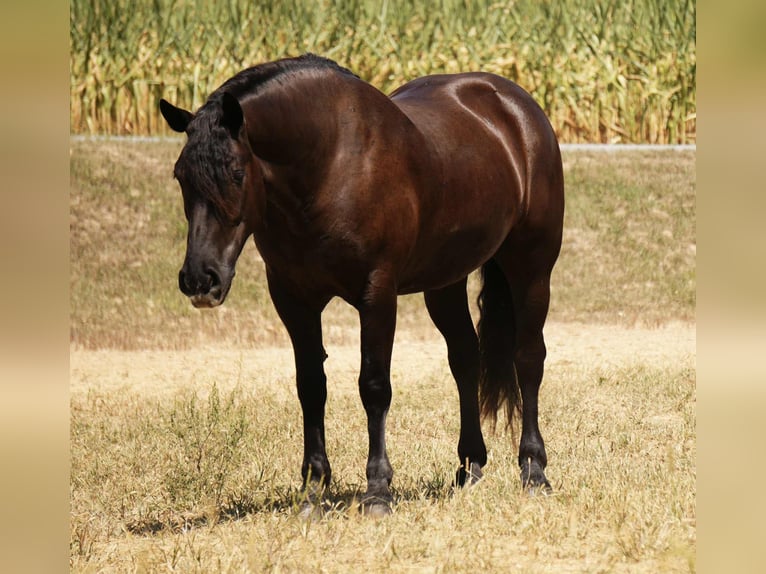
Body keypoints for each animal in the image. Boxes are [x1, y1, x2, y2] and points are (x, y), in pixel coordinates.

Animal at [160, 54, 564, 516]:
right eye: (180, 175)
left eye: (236, 172)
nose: (199, 279)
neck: (330, 163)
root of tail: (516, 108)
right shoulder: (293, 299)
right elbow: (310, 386)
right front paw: (313, 489)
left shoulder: (377, 293)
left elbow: (374, 386)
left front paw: (378, 490)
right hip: (444, 282)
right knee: (465, 360)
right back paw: (469, 468)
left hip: (532, 267)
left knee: (528, 359)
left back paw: (534, 470)